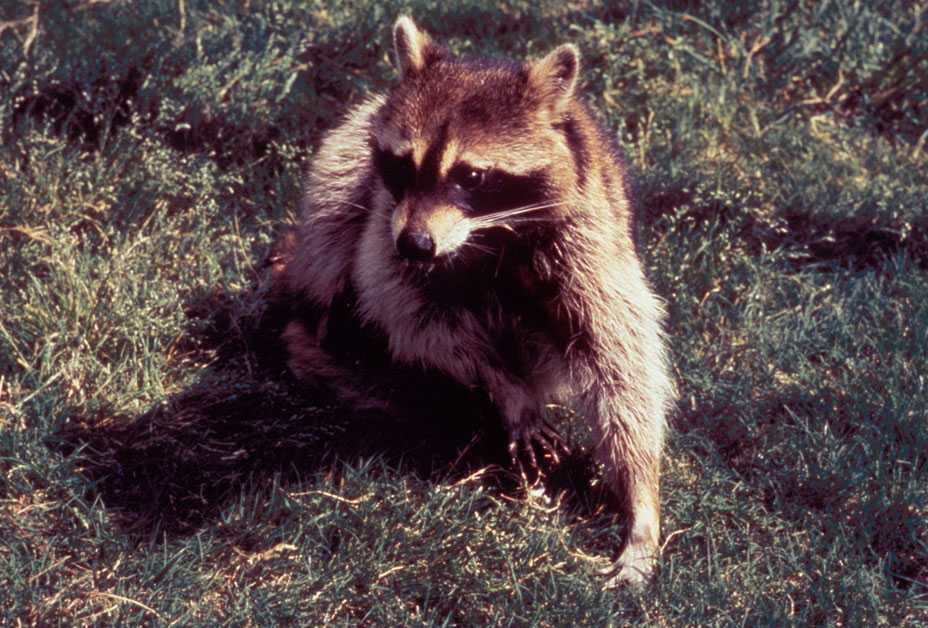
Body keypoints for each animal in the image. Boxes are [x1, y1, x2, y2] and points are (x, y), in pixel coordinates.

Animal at [272, 17, 675, 585]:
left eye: (472, 176)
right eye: (402, 164)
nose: (416, 245)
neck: (483, 236)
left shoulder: (587, 240)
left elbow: (622, 361)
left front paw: (640, 497)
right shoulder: (386, 227)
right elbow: (412, 317)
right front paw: (503, 384)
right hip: (347, 169)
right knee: (334, 206)